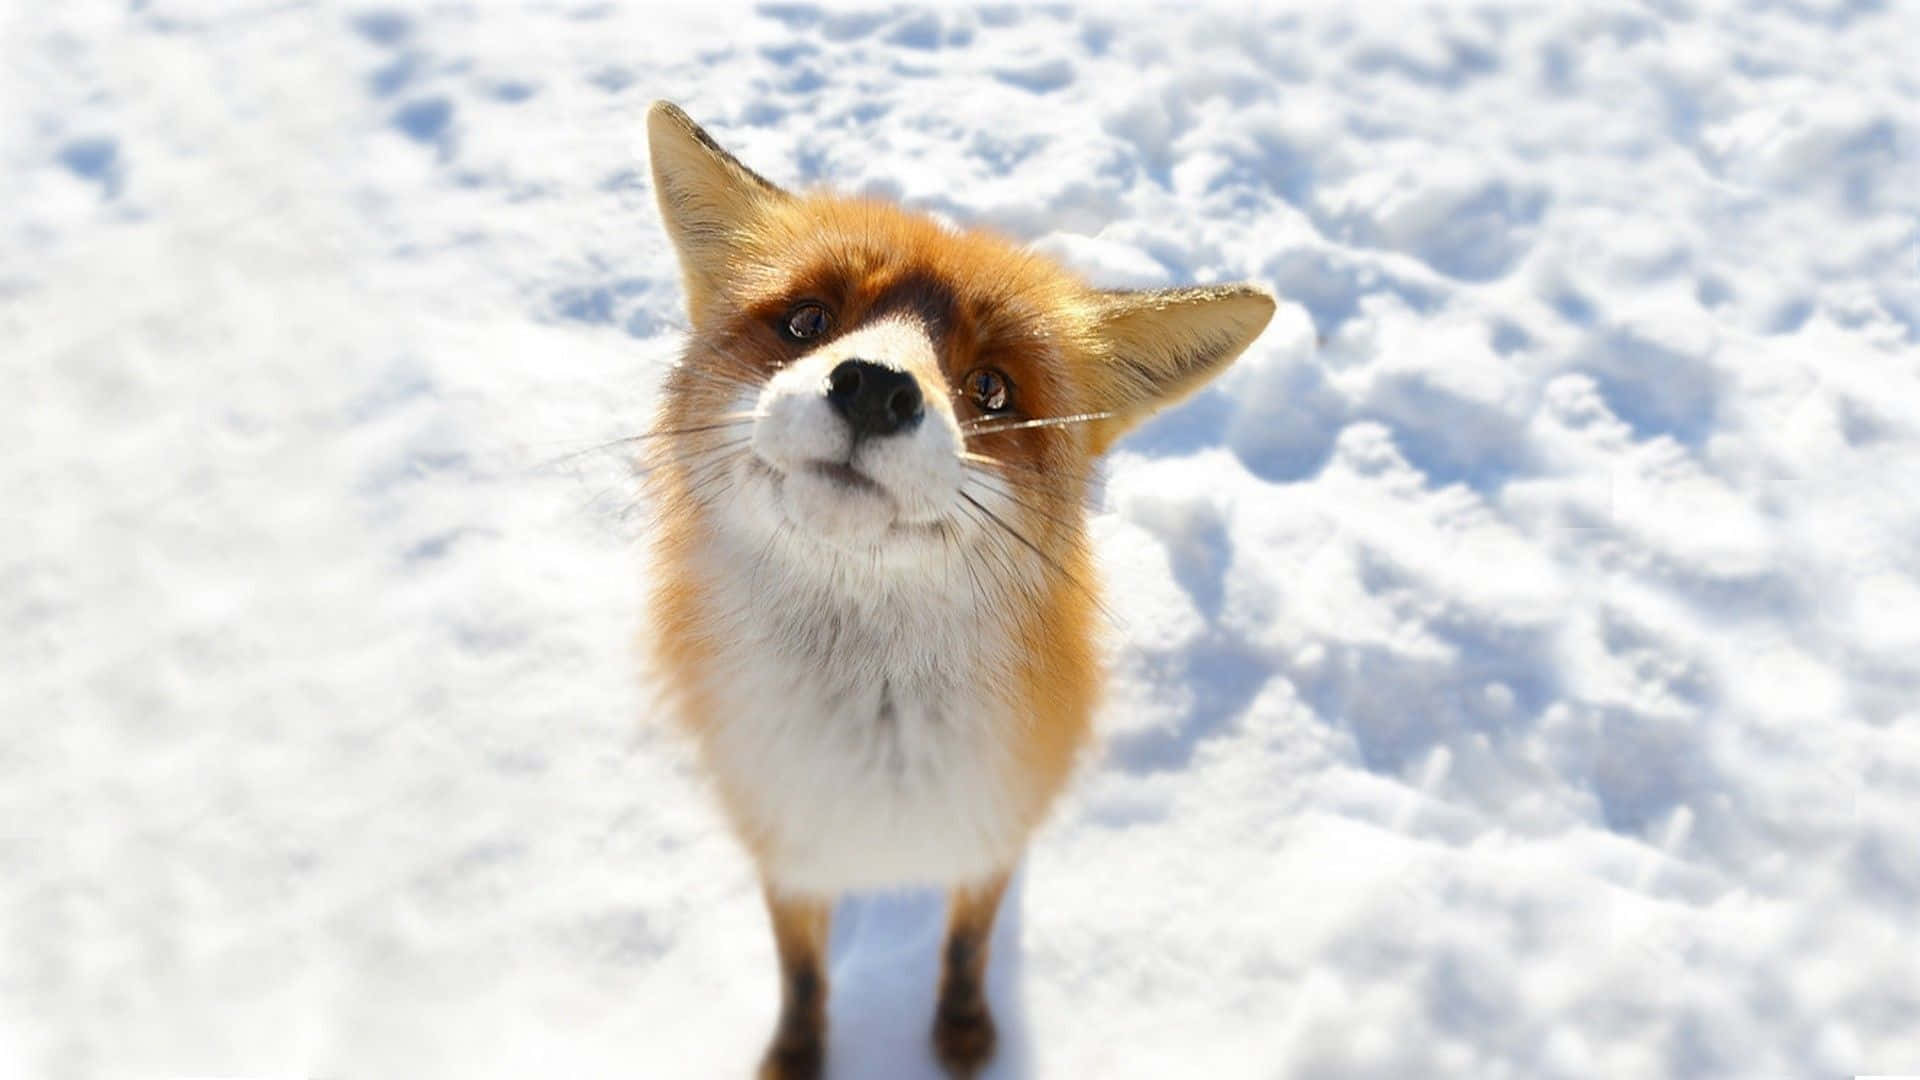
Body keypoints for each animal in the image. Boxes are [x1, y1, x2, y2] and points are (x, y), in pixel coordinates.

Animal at [641, 101, 1274, 1079]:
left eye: (992, 388)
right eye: (808, 321)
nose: (873, 388)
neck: (878, 753)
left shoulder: (993, 830)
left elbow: (969, 944)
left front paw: (965, 1033)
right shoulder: (783, 842)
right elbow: (802, 973)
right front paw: (798, 1055)